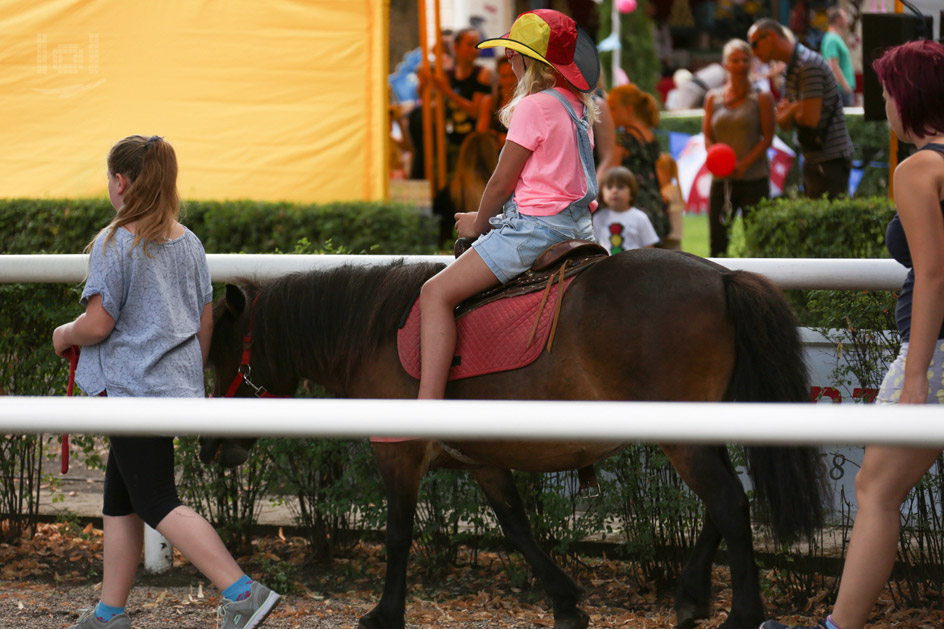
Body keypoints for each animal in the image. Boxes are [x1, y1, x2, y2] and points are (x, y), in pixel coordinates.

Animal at [206, 250, 824, 628]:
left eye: (219, 357)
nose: (211, 448)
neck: (375, 333)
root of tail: (722, 276)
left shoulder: (398, 453)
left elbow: (399, 535)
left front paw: (385, 612)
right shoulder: (485, 462)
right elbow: (518, 529)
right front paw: (566, 601)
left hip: (684, 440)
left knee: (729, 503)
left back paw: (741, 611)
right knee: (723, 507)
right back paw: (692, 595)